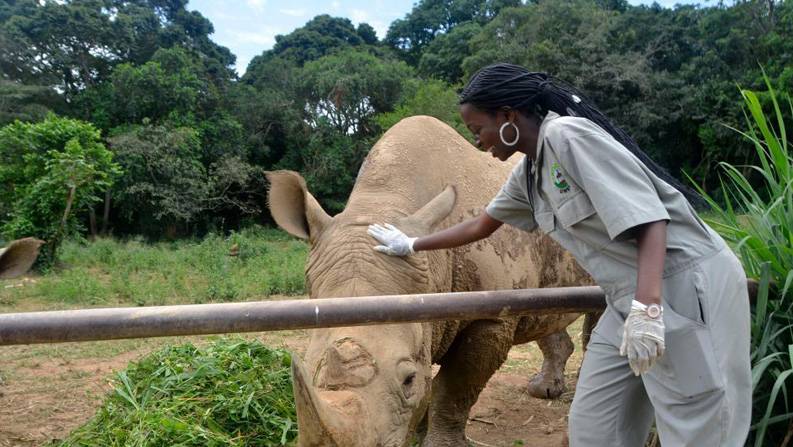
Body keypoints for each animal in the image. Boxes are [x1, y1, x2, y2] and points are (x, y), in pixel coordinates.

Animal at [266, 116, 588, 447]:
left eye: (408, 380)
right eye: (307, 369)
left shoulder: (491, 316)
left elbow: (453, 387)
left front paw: (439, 442)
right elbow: (431, 385)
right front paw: (418, 435)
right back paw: (543, 390)